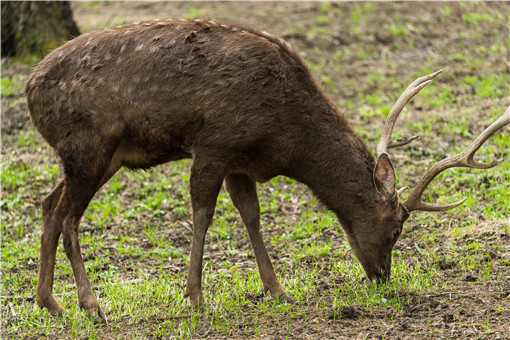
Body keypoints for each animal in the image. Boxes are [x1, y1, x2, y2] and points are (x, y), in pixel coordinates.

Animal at [24, 17, 510, 322]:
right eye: (395, 230)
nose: (382, 278)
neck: (282, 137)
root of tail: (28, 88)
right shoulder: (216, 141)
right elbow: (203, 212)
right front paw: (195, 297)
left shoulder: (240, 161)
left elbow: (251, 217)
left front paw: (278, 290)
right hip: (89, 145)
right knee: (68, 217)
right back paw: (91, 305)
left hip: (99, 156)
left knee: (48, 205)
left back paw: (51, 303)